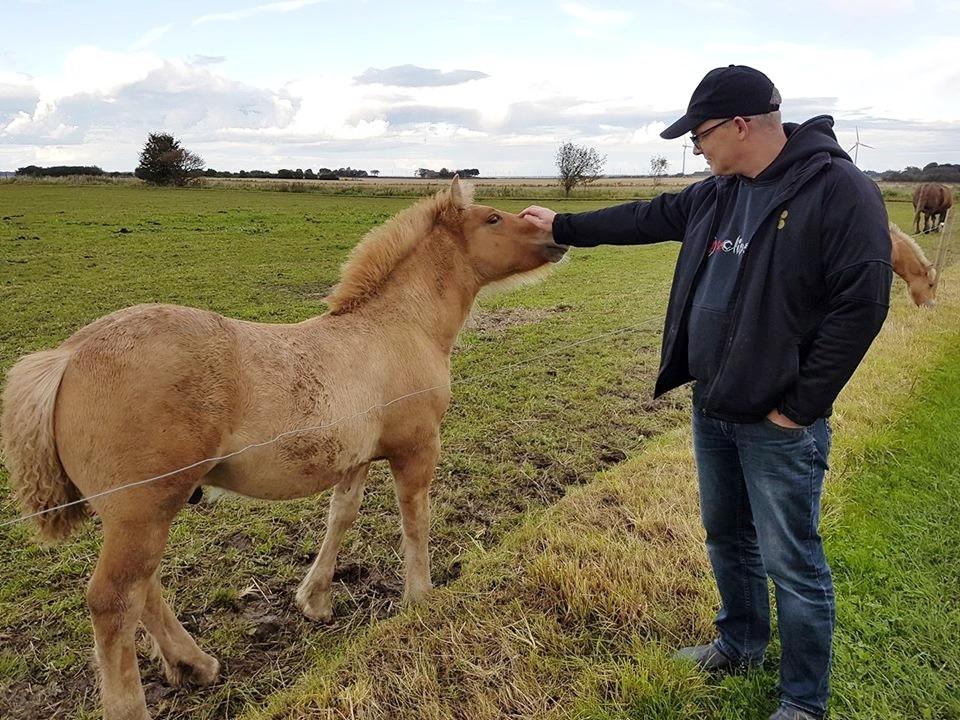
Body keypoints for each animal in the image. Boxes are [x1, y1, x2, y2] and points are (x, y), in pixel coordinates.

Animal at [0, 176, 568, 720]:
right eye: (492, 218)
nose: (556, 234)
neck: (397, 328)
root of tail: (68, 356)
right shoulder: (417, 448)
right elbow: (415, 521)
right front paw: (420, 599)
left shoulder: (355, 456)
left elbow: (341, 516)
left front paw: (314, 601)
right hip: (142, 510)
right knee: (114, 602)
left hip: (140, 514)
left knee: (146, 588)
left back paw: (195, 664)